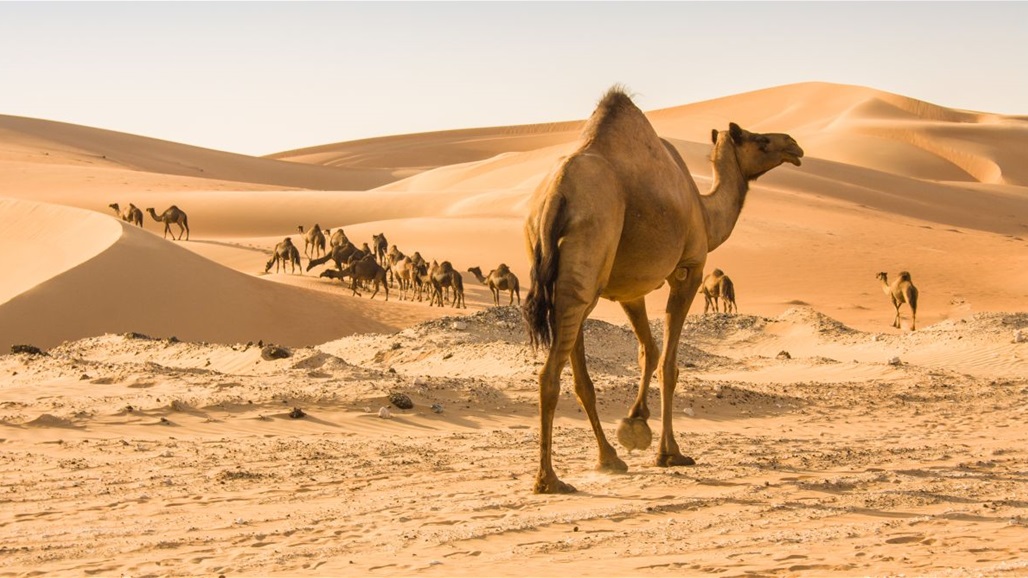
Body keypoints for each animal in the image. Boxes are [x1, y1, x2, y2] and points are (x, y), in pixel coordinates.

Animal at [522, 87, 801, 493]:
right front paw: (670, 452)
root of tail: (556, 195)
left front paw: (635, 422)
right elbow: (669, 363)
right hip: (587, 260)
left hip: (569, 278)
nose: (794, 144)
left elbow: (648, 352)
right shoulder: (690, 270)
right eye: (759, 139)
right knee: (550, 374)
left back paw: (609, 459)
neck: (705, 211)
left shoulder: (628, 289)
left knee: (578, 376)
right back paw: (550, 479)